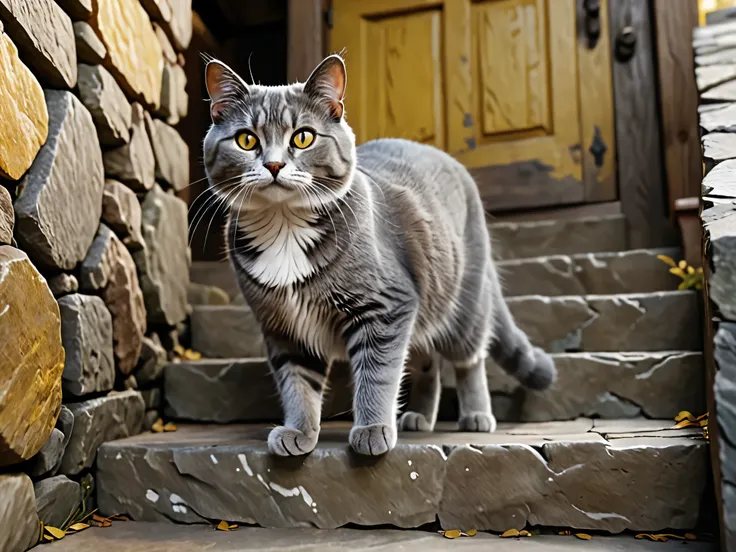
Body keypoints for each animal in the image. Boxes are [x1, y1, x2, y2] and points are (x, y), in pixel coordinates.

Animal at [201, 55, 552, 458]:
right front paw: (299, 432)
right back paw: (420, 416)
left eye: (303, 137)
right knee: (427, 363)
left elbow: (378, 374)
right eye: (247, 140)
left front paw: (372, 429)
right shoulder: (283, 329)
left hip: (462, 303)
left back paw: (476, 415)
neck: (284, 226)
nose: (274, 165)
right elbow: (297, 384)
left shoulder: (387, 306)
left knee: (469, 359)